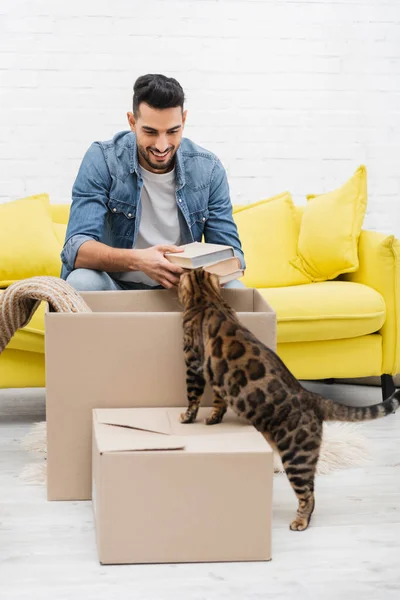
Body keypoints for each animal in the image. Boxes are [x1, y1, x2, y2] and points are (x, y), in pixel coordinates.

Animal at [178, 270, 400, 532]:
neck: (208, 298)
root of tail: (314, 398)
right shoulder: (216, 376)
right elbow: (218, 402)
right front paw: (213, 418)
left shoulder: (194, 364)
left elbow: (193, 397)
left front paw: (186, 417)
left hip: (296, 456)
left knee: (308, 495)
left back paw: (300, 522)